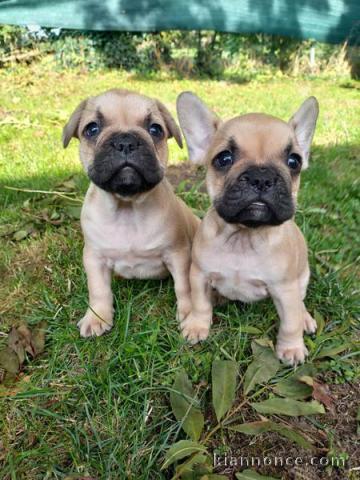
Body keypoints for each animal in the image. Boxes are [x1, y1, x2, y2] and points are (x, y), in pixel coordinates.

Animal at [64, 90, 200, 338]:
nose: (125, 141)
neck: (127, 208)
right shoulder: (94, 258)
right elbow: (98, 289)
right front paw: (97, 316)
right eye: (92, 129)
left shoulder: (178, 254)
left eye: (155, 129)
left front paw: (188, 313)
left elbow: (183, 286)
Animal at [176, 93, 320, 364]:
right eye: (224, 158)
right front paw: (197, 326)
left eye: (294, 161)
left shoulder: (285, 289)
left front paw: (291, 348)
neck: (244, 237)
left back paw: (305, 318)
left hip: (302, 278)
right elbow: (200, 304)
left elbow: (290, 322)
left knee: (300, 304)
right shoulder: (199, 275)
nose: (261, 177)